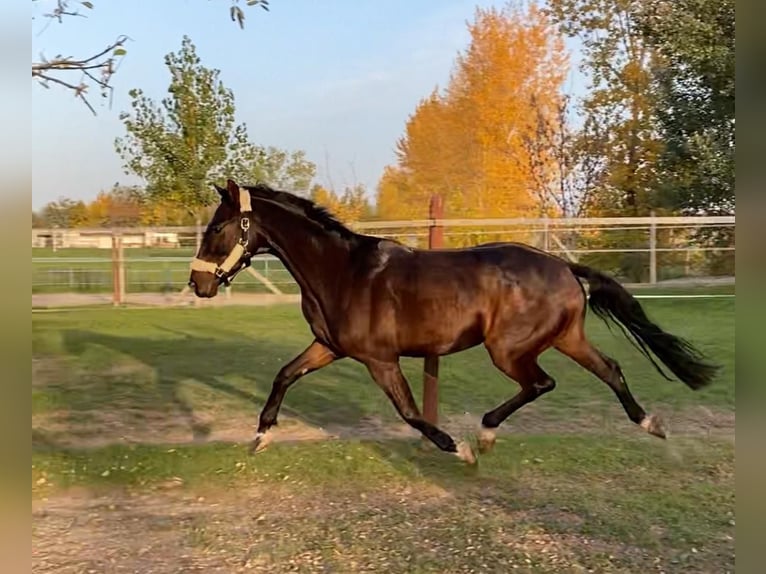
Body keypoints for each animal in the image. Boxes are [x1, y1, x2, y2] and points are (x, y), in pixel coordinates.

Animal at [190, 178, 720, 466]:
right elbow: (284, 375)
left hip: (508, 349)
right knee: (610, 368)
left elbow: (410, 413)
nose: (198, 284)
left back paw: (484, 436)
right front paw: (260, 437)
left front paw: (457, 450)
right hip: (566, 337)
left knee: (542, 383)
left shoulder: (379, 360)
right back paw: (651, 425)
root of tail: (565, 267)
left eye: (216, 228)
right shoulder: (329, 347)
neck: (344, 271)